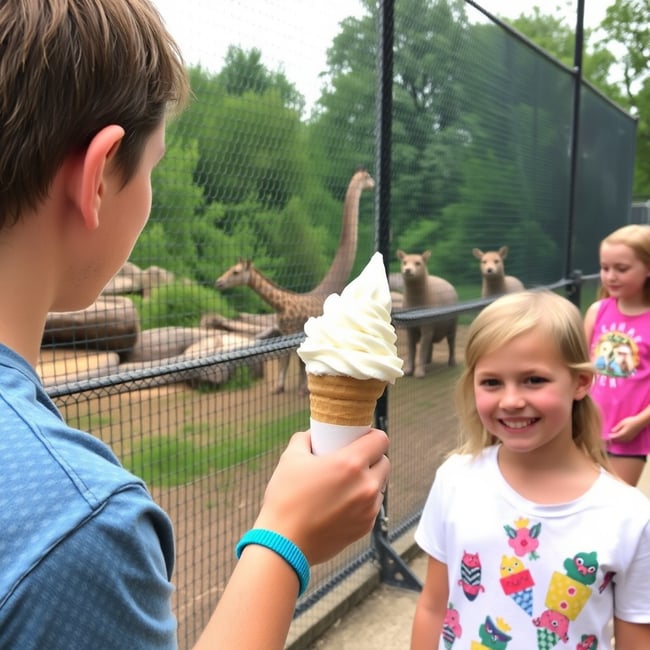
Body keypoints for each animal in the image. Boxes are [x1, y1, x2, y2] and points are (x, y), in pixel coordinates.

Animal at [214, 167, 372, 390]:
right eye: (230, 269)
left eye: (235, 272)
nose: (218, 282)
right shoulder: (285, 333)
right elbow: (286, 360)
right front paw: (280, 387)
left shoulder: (298, 333)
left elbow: (298, 361)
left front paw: (301, 388)